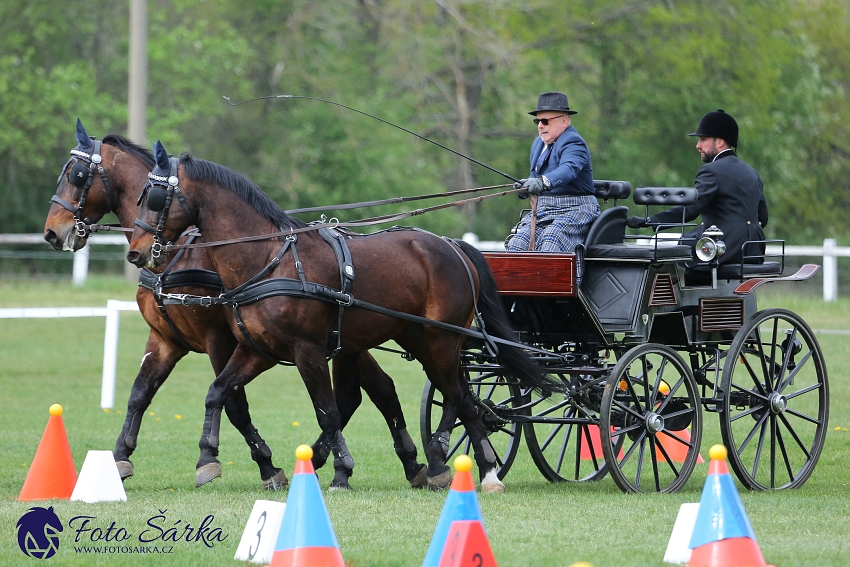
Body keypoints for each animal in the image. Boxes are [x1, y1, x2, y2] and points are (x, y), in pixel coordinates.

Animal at [42, 121, 424, 492]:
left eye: (76, 175)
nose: (52, 233)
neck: (181, 252)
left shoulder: (221, 339)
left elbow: (235, 404)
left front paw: (252, 465)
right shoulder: (165, 340)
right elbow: (139, 394)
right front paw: (119, 460)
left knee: (359, 395)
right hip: (347, 341)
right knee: (376, 391)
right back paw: (404, 464)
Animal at [126, 141, 548, 492]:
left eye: (156, 196)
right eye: (140, 194)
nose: (136, 252)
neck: (270, 260)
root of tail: (452, 246)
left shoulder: (307, 351)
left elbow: (327, 412)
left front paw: (341, 469)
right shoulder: (256, 351)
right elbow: (219, 393)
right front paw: (207, 458)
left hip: (442, 339)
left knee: (456, 395)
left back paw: (444, 460)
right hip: (422, 339)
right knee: (462, 397)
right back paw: (481, 472)